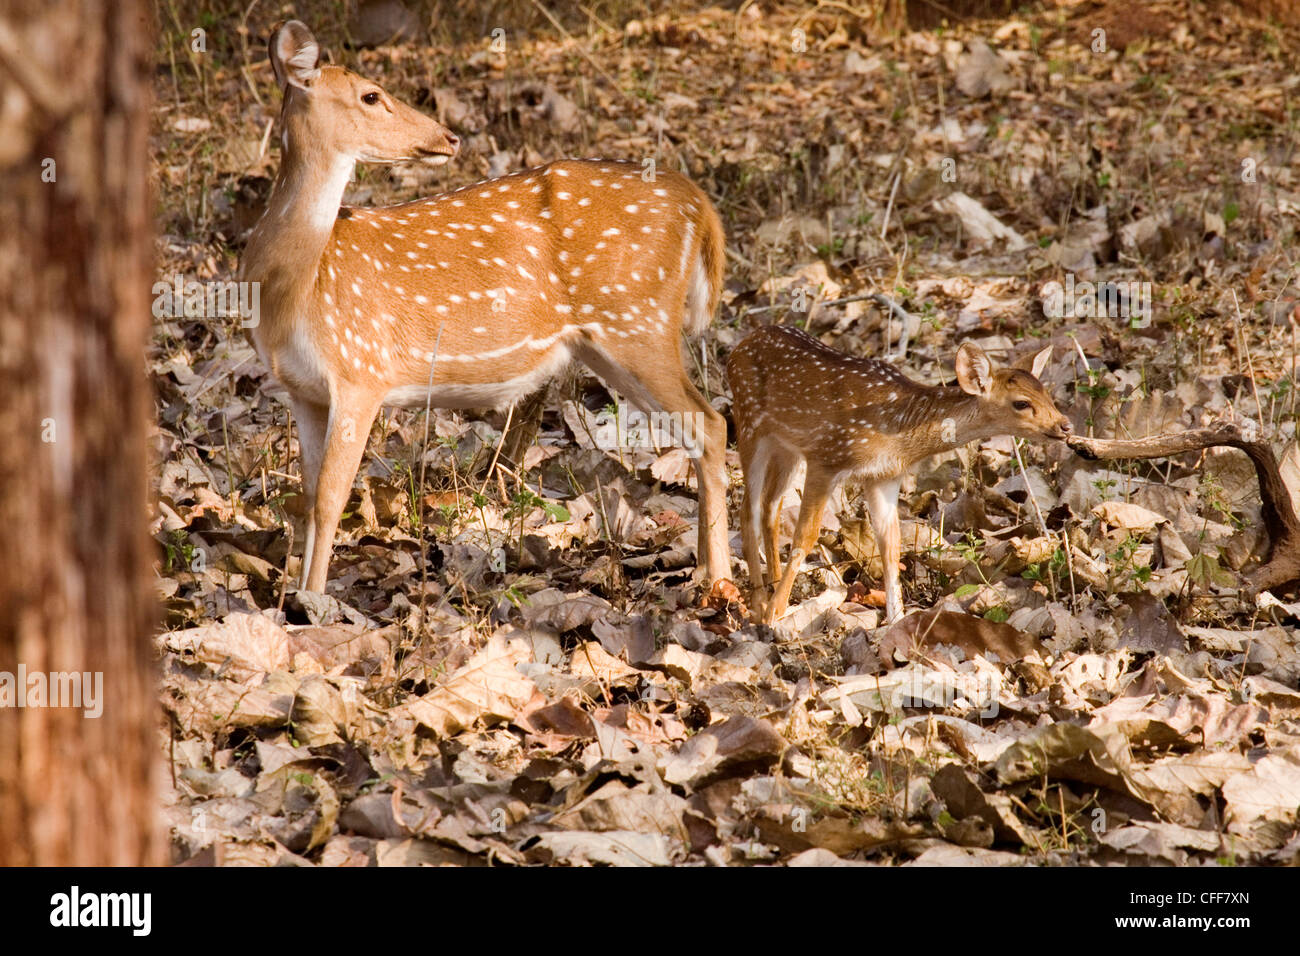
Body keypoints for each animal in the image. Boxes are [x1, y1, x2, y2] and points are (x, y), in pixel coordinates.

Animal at [238, 21, 731, 594]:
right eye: (371, 95)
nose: (449, 137)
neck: (296, 287)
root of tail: (699, 204)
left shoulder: (362, 371)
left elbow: (330, 501)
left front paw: (312, 603)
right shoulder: (304, 391)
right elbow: (309, 498)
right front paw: (298, 595)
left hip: (639, 321)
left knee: (712, 425)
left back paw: (722, 581)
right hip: (612, 340)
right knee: (699, 430)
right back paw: (703, 570)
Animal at [725, 325, 1071, 626]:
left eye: (1047, 395)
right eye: (1021, 403)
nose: (1065, 425)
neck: (899, 432)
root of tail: (742, 343)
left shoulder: (884, 476)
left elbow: (890, 544)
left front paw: (896, 620)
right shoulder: (827, 457)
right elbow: (805, 535)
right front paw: (775, 613)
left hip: (788, 448)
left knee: (770, 506)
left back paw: (771, 584)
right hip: (750, 423)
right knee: (747, 509)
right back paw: (760, 604)